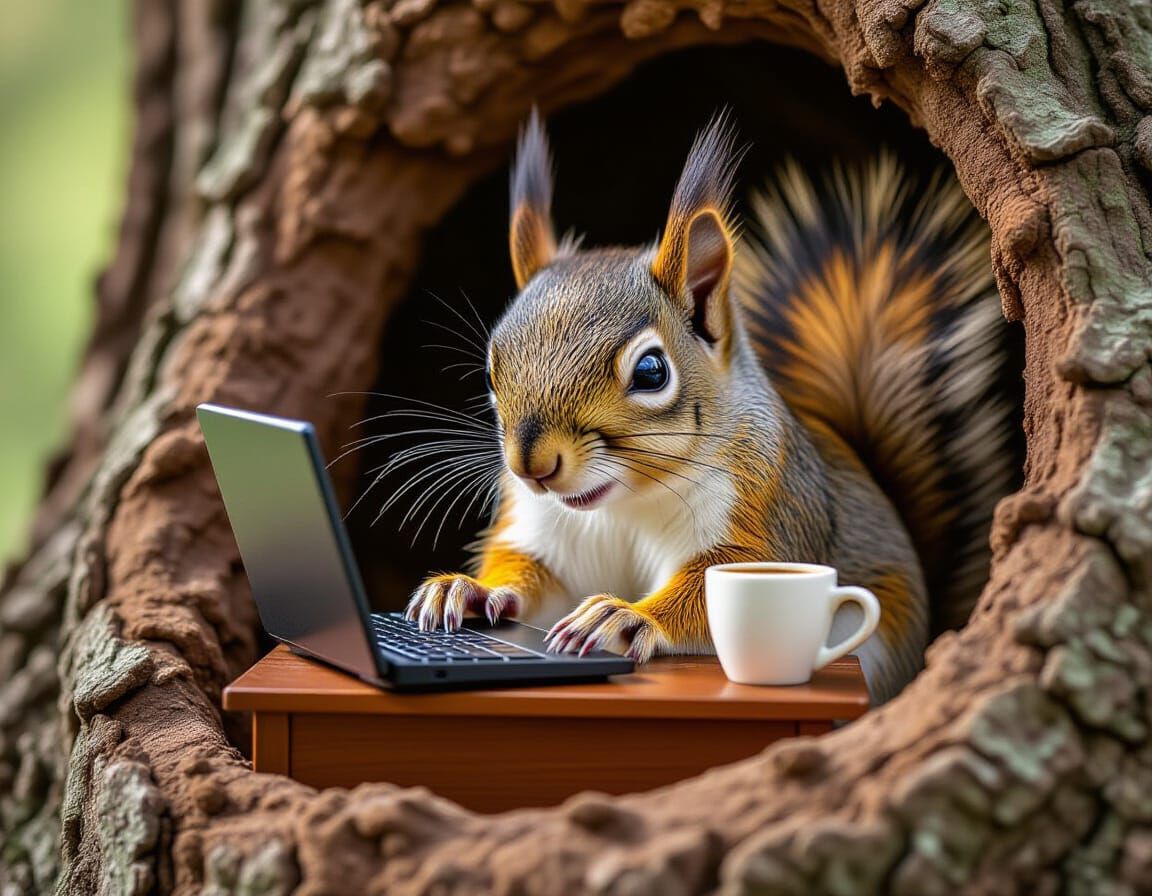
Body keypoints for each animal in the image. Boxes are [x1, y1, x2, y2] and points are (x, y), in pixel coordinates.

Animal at [404, 111, 1011, 703]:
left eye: (652, 372)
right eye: (490, 370)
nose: (531, 466)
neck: (625, 503)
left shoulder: (762, 510)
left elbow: (708, 588)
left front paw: (623, 617)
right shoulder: (544, 531)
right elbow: (530, 573)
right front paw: (467, 589)